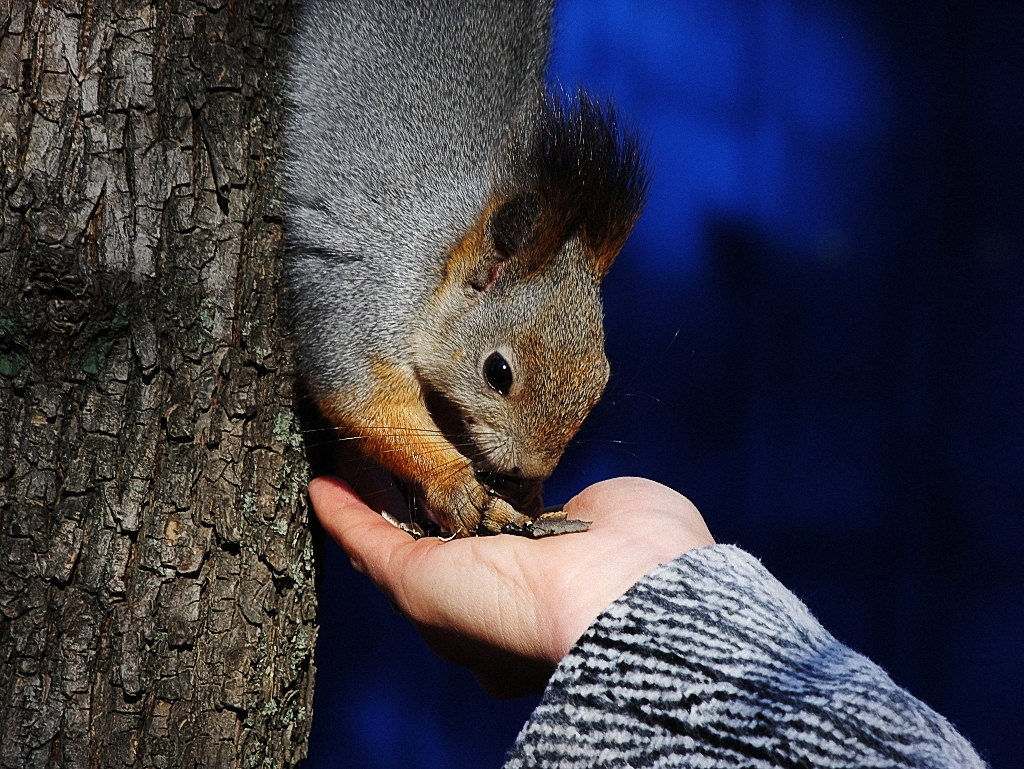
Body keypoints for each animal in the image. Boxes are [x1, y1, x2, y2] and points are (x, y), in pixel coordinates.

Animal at [282, 0, 647, 536]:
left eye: (601, 381)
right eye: (498, 372)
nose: (526, 472)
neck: (439, 265)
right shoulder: (363, 301)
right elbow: (365, 399)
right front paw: (453, 483)